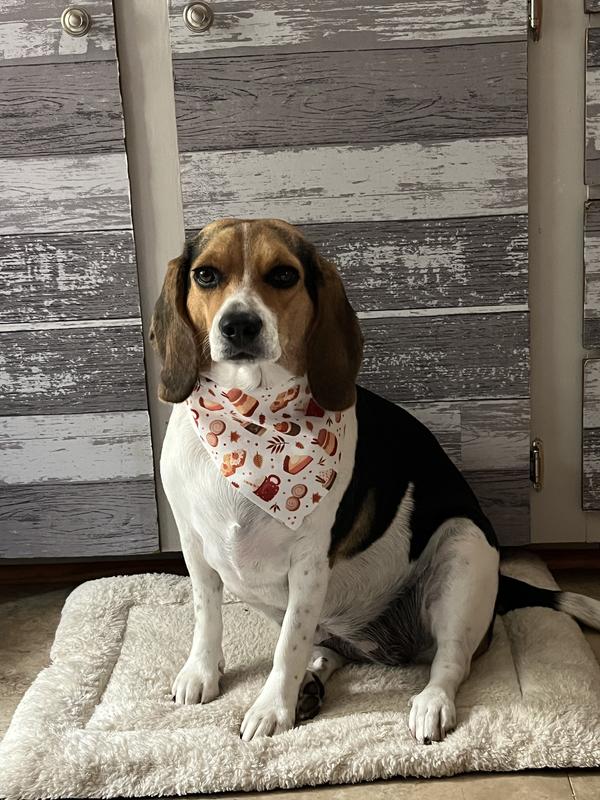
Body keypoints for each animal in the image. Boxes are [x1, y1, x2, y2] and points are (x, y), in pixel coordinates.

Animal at [151, 218, 600, 743]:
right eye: (206, 275)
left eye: (283, 275)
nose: (238, 324)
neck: (250, 418)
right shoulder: (194, 546)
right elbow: (207, 618)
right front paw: (201, 673)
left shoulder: (309, 564)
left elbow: (287, 647)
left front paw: (270, 708)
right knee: (328, 650)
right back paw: (312, 684)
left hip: (463, 551)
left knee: (452, 662)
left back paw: (430, 704)